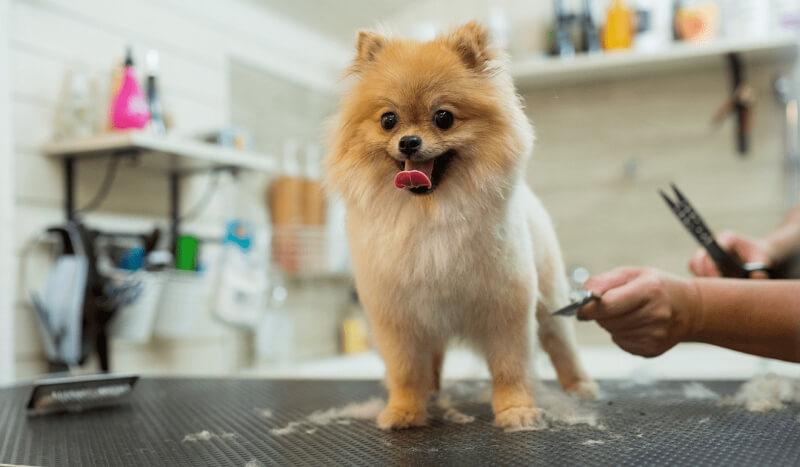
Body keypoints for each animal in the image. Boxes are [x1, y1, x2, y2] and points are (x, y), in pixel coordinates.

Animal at [324, 22, 592, 432]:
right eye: (388, 120)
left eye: (443, 118)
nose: (409, 141)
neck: (430, 215)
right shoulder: (398, 316)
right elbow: (405, 371)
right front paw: (405, 410)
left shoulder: (506, 307)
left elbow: (510, 366)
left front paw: (515, 410)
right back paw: (430, 390)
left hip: (551, 298)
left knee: (561, 343)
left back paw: (579, 386)